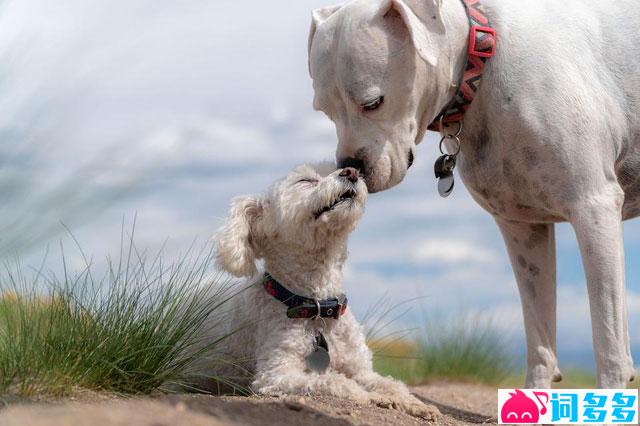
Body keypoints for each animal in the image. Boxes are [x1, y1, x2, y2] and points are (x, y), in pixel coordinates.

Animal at [210, 162, 440, 420]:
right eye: (305, 181)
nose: (351, 171)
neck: (318, 308)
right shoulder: (275, 375)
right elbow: (335, 381)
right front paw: (372, 397)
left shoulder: (361, 370)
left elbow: (391, 384)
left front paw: (416, 403)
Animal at [308, 0, 636, 390]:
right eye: (325, 111)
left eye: (373, 103)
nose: (350, 167)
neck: (481, 62)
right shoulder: (523, 229)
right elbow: (540, 337)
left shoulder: (593, 209)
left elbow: (608, 338)